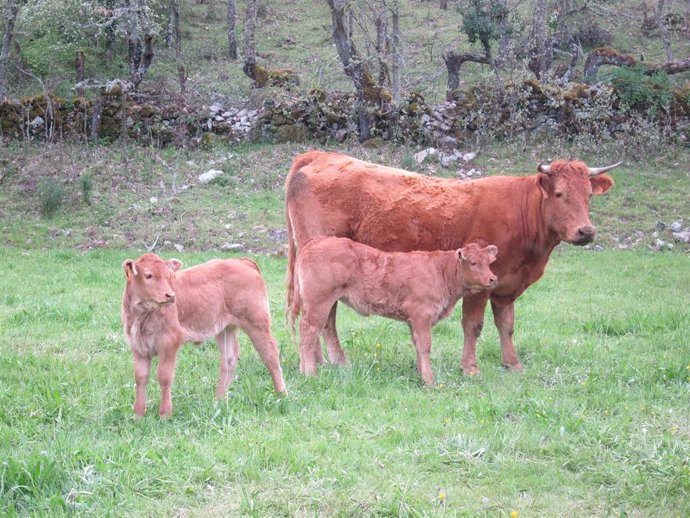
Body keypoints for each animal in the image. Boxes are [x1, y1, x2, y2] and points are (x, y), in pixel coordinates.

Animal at [121, 254, 284, 420]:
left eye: (169, 276)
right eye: (148, 275)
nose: (170, 295)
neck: (141, 316)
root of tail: (241, 261)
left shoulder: (169, 344)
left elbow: (164, 377)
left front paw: (165, 414)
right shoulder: (137, 347)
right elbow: (140, 378)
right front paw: (138, 414)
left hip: (257, 323)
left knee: (270, 353)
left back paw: (281, 395)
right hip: (225, 329)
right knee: (229, 359)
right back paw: (219, 401)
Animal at [288, 239, 498, 386]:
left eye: (489, 263)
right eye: (473, 263)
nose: (493, 278)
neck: (441, 272)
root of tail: (315, 241)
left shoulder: (413, 320)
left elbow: (417, 345)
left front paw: (420, 374)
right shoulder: (422, 314)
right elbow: (425, 346)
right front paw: (429, 380)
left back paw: (302, 371)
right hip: (319, 303)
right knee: (309, 332)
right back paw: (310, 374)